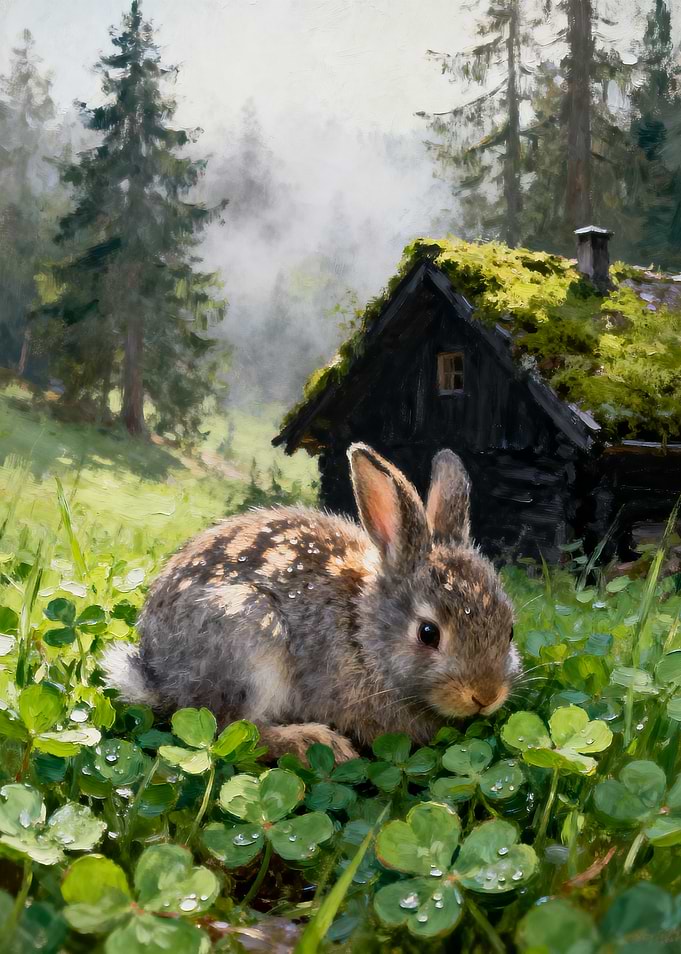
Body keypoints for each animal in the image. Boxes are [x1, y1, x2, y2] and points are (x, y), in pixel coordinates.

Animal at [101, 444, 520, 762]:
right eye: (428, 633)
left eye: (510, 630)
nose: (485, 696)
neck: (361, 633)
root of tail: (158, 674)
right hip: (247, 635)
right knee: (232, 727)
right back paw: (317, 743)